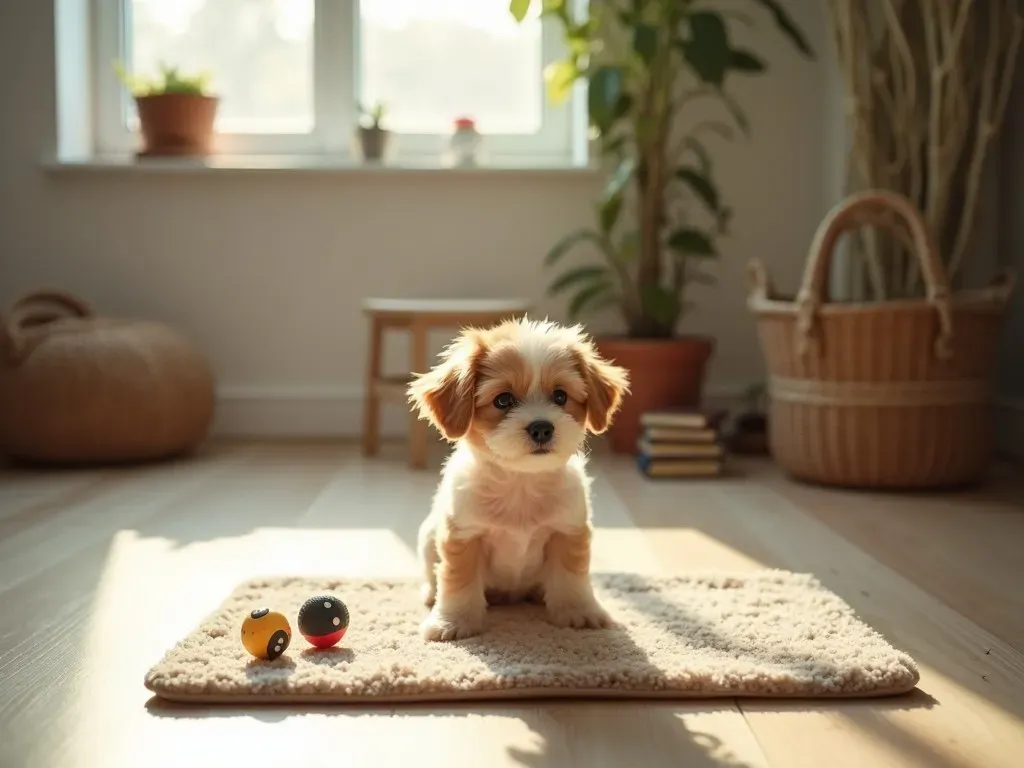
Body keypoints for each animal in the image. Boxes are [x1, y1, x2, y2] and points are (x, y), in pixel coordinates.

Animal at [403, 317, 626, 643]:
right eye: (503, 400)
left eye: (560, 396)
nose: (542, 428)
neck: (521, 484)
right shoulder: (463, 535)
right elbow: (458, 581)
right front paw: (453, 621)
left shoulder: (568, 532)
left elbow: (571, 577)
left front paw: (579, 611)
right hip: (428, 537)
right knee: (433, 577)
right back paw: (431, 594)